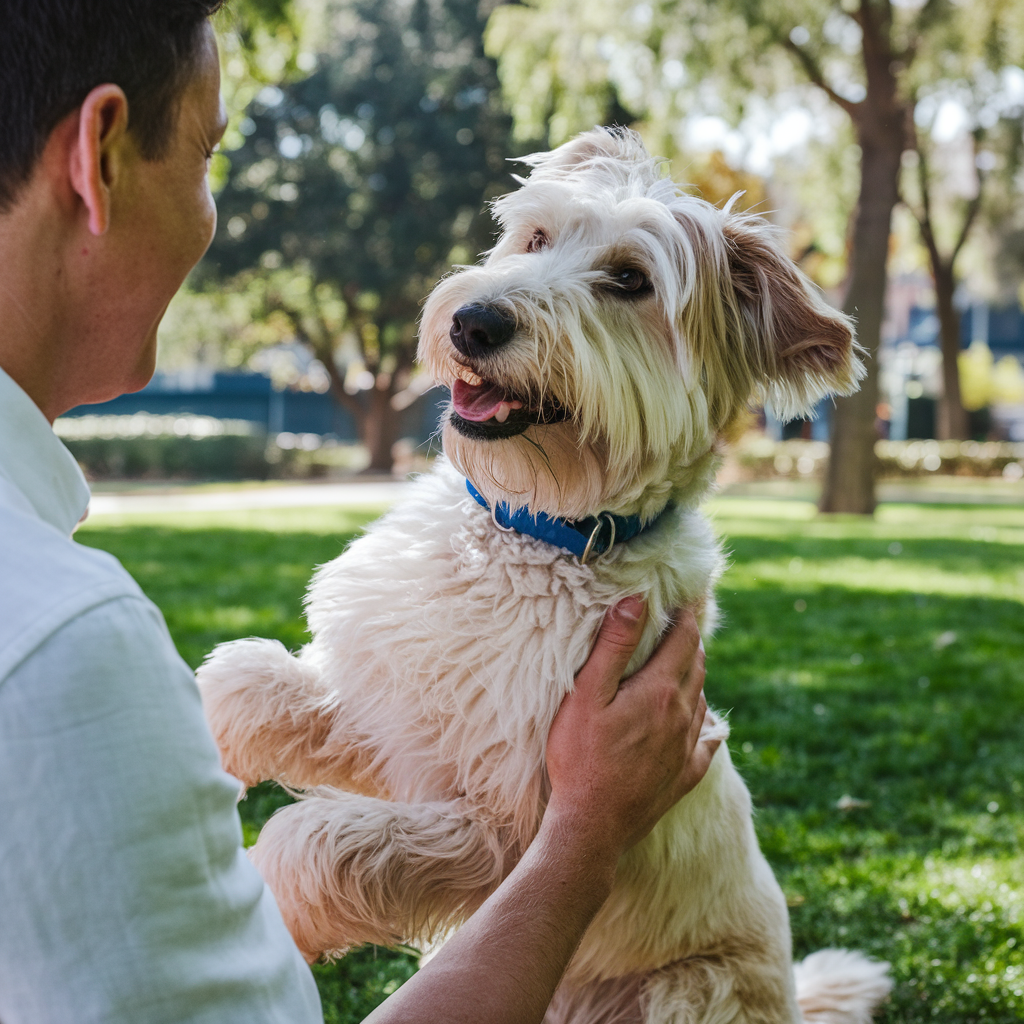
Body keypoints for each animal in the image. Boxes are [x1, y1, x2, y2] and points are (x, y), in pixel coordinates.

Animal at [197, 128, 888, 1024]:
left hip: (684, 992)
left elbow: (321, 841)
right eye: (535, 238)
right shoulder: (399, 725)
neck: (531, 535)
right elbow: (250, 684)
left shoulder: (511, 827)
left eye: (629, 280)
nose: (475, 320)